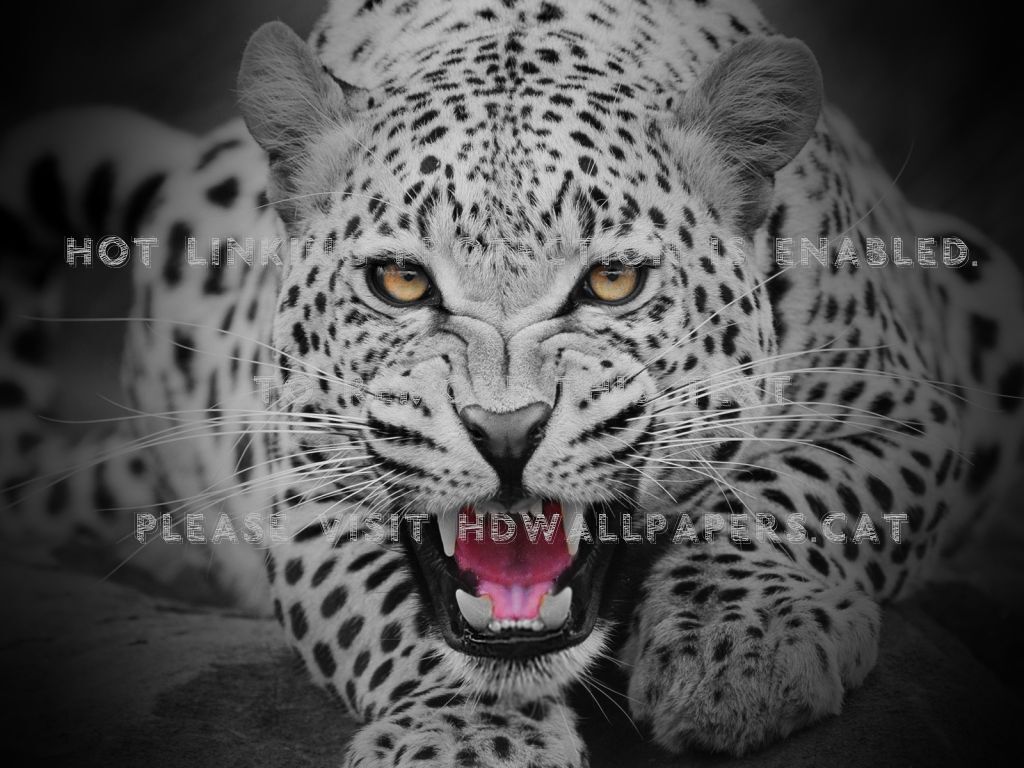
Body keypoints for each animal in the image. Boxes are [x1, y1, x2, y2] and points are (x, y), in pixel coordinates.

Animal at [2, 0, 1023, 765]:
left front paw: (740, 651)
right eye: (400, 282)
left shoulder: (909, 411)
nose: (505, 431)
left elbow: (791, 495)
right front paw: (469, 738)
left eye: (612, 281)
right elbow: (387, 611)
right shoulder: (301, 479)